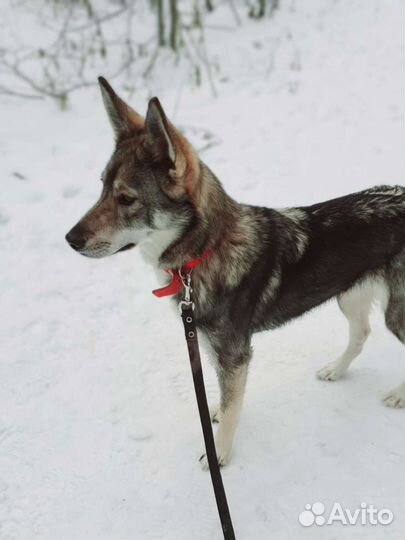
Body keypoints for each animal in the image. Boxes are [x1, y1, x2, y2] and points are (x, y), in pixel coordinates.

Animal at [66, 76, 404, 468]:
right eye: (102, 187)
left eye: (127, 199)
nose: (70, 239)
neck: (204, 253)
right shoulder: (211, 346)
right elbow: (225, 399)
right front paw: (213, 415)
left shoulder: (235, 355)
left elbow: (232, 409)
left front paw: (220, 456)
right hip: (349, 296)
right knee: (361, 332)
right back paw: (336, 368)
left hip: (395, 312)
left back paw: (398, 394)